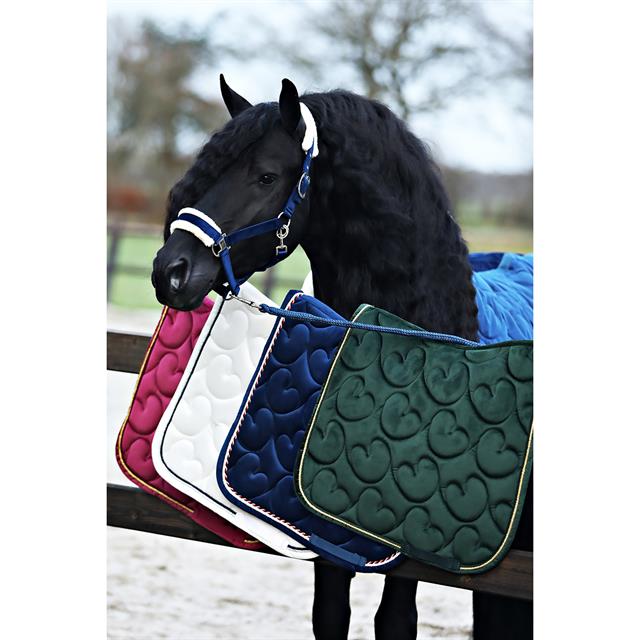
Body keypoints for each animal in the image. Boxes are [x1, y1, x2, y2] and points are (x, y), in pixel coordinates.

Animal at [152, 75, 532, 640]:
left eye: (266, 176)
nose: (169, 271)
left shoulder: (403, 552)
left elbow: (395, 621)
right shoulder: (319, 535)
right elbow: (330, 615)